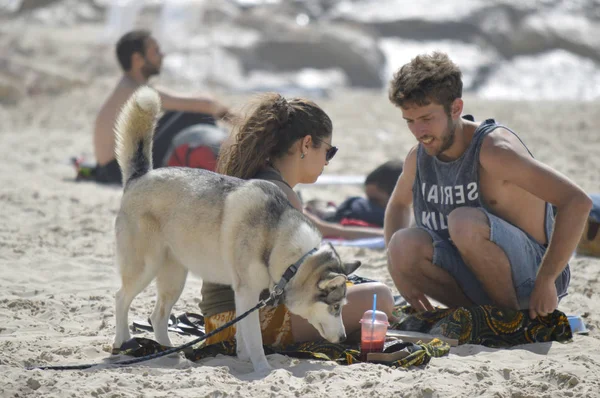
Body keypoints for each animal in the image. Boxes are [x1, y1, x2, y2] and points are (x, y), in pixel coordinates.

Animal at [111, 86, 360, 374]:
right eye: (335, 307)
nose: (343, 337)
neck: (278, 239)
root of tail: (140, 177)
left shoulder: (246, 294)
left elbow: (243, 333)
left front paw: (241, 357)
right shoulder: (247, 291)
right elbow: (255, 339)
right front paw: (263, 369)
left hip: (174, 277)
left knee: (158, 315)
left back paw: (166, 352)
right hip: (144, 267)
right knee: (120, 298)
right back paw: (122, 343)